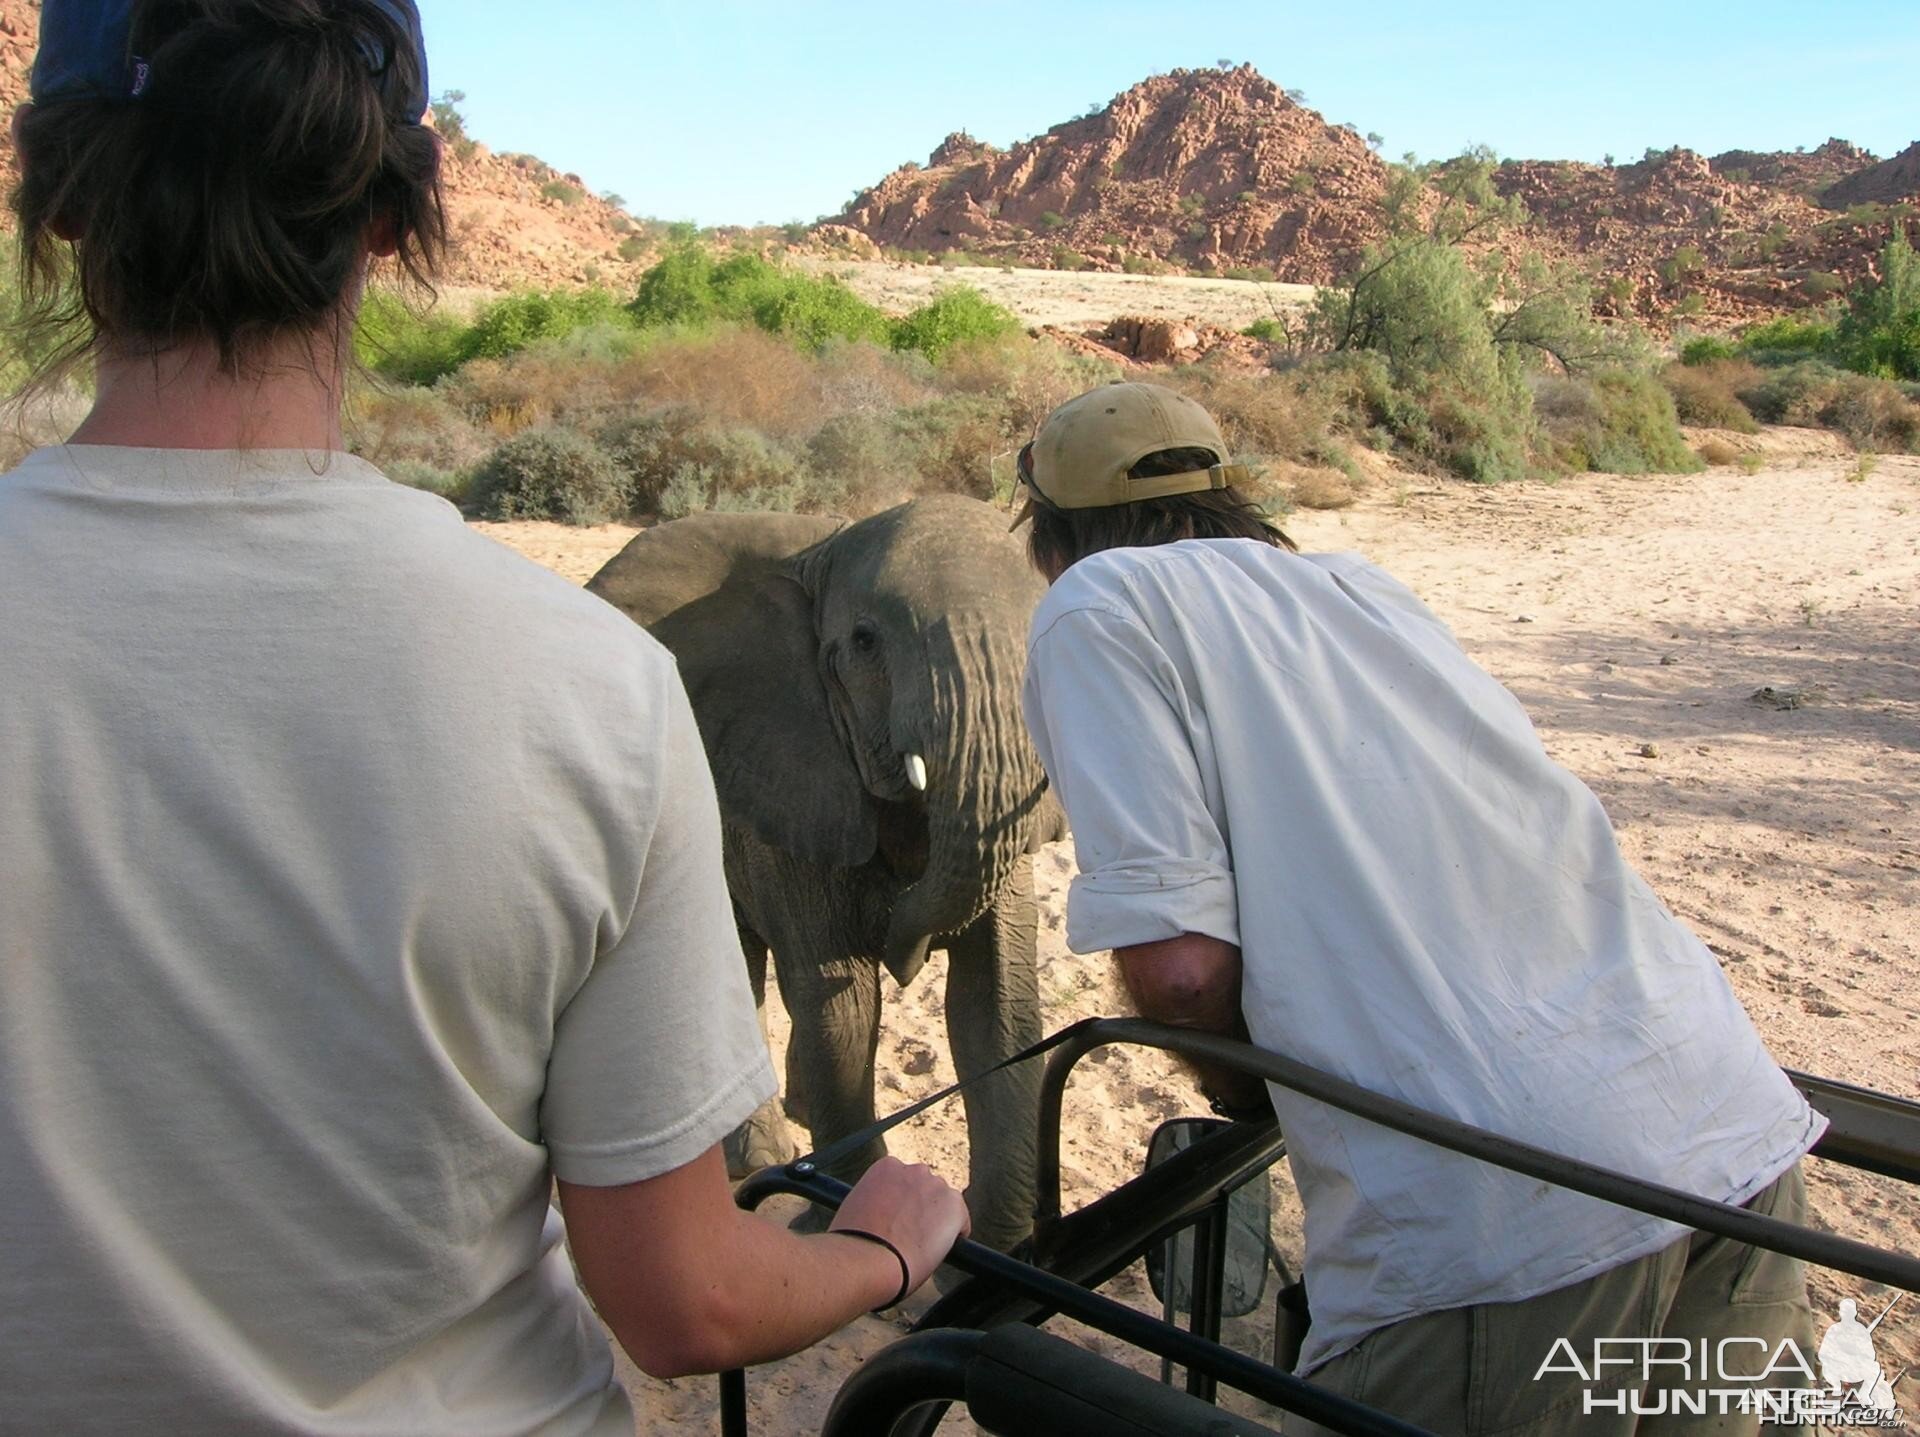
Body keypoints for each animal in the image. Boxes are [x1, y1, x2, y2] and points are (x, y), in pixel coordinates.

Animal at [587, 495, 1067, 1260]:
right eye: (865, 643)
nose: (908, 946)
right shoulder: (786, 782)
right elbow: (839, 1000)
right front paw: (846, 1217)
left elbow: (996, 997)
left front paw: (997, 1248)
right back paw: (760, 1157)